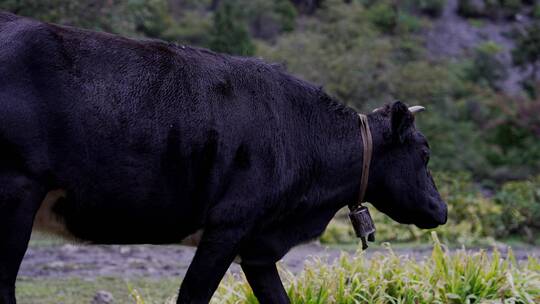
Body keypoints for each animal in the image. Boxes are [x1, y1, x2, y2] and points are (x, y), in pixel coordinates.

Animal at [0, 11, 448, 304]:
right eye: (424, 153)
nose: (441, 210)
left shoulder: (257, 246)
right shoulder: (228, 224)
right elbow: (192, 296)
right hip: (18, 190)